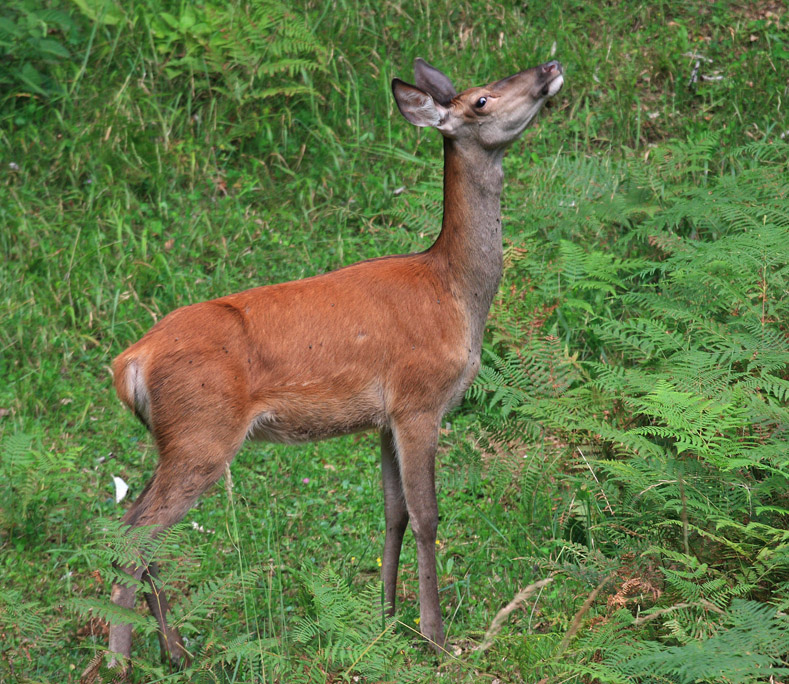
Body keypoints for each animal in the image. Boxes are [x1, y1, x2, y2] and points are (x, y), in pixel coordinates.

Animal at [83, 54, 564, 680]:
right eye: (482, 99)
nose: (549, 67)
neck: (455, 293)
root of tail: (129, 363)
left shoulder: (384, 418)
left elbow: (393, 514)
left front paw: (385, 620)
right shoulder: (419, 400)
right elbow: (428, 516)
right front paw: (435, 638)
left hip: (174, 440)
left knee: (142, 532)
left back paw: (176, 651)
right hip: (201, 434)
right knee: (136, 532)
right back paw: (121, 662)